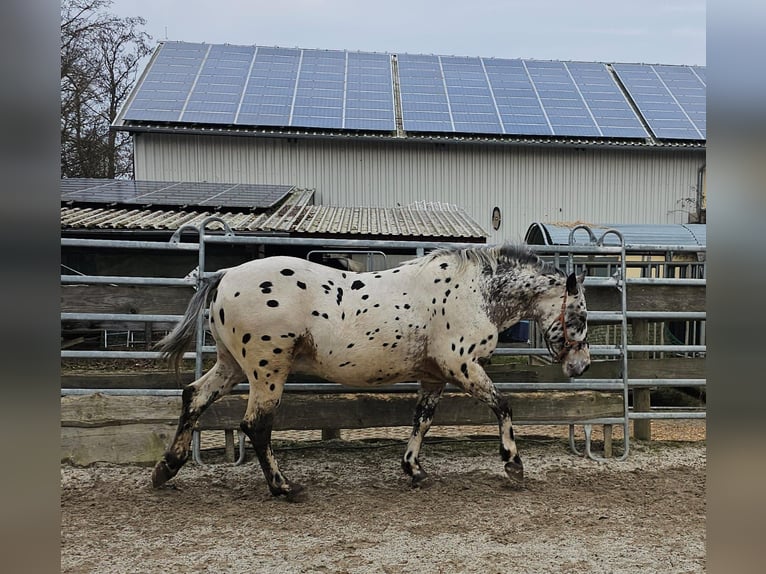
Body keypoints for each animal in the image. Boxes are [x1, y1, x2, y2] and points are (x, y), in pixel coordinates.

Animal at [152, 244, 592, 500]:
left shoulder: (435, 376)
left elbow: (422, 420)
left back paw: (165, 469)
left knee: (194, 397)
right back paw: (285, 487)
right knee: (256, 425)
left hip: (231, 365)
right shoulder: (462, 366)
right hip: (267, 370)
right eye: (581, 315)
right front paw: (513, 465)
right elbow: (503, 405)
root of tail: (226, 275)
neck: (475, 292)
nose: (581, 365)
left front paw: (414, 469)